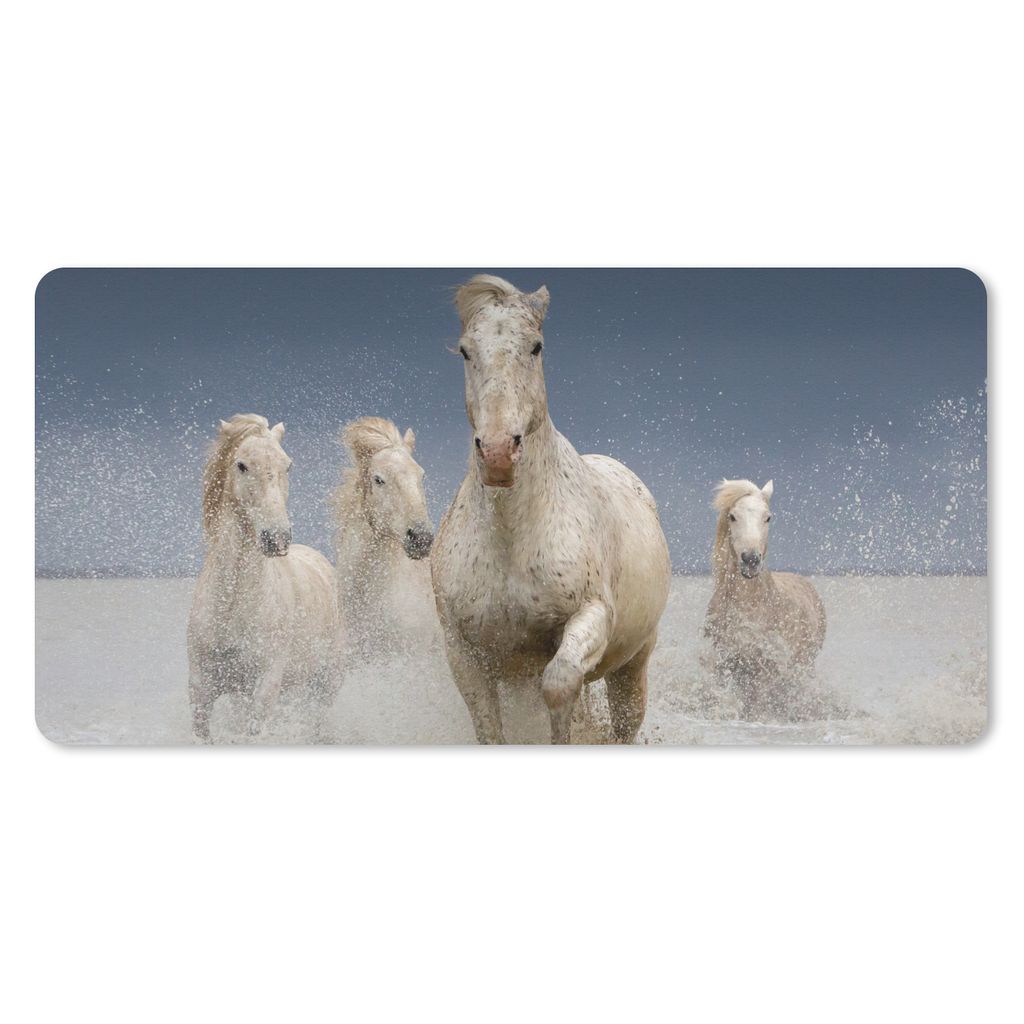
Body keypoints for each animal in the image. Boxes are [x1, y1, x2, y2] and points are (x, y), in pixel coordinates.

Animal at [187, 414, 341, 741]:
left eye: (288, 465)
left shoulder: (266, 684)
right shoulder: (202, 689)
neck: (233, 603)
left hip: (325, 684)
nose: (277, 538)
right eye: (242, 465)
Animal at [430, 274, 672, 744]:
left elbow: (560, 685)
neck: (513, 537)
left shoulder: (590, 616)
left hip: (634, 664)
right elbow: (488, 725)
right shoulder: (465, 652)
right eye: (466, 350)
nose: (498, 454)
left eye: (536, 346)